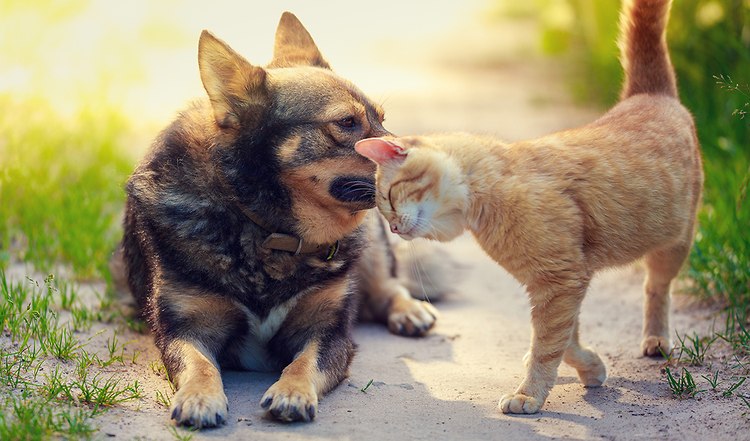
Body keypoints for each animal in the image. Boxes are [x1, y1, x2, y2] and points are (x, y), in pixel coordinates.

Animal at [117, 12, 440, 426]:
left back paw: (410, 310)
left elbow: (304, 363)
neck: (266, 227)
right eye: (346, 122)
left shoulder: (328, 332)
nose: (432, 158)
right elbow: (199, 363)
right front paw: (199, 397)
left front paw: (292, 391)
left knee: (389, 285)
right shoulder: (184, 328)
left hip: (370, 242)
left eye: (382, 119)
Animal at [356, 0, 704, 414]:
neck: (491, 187)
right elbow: (565, 339)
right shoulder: (564, 282)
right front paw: (590, 366)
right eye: (384, 212)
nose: (393, 229)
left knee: (656, 287)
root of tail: (649, 94)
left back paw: (656, 340)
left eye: (390, 198)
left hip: (674, 244)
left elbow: (549, 345)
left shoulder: (559, 282)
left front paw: (529, 393)